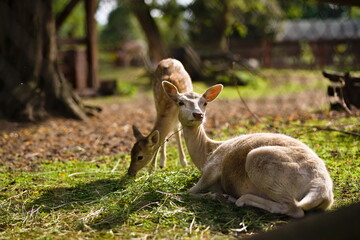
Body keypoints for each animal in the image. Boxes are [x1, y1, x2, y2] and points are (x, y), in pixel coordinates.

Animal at [162, 80, 334, 218]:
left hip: (259, 160)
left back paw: (240, 199)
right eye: (180, 102)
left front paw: (216, 195)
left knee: (294, 208)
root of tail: (321, 186)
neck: (206, 154)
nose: (198, 114)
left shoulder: (212, 168)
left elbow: (190, 191)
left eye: (205, 103)